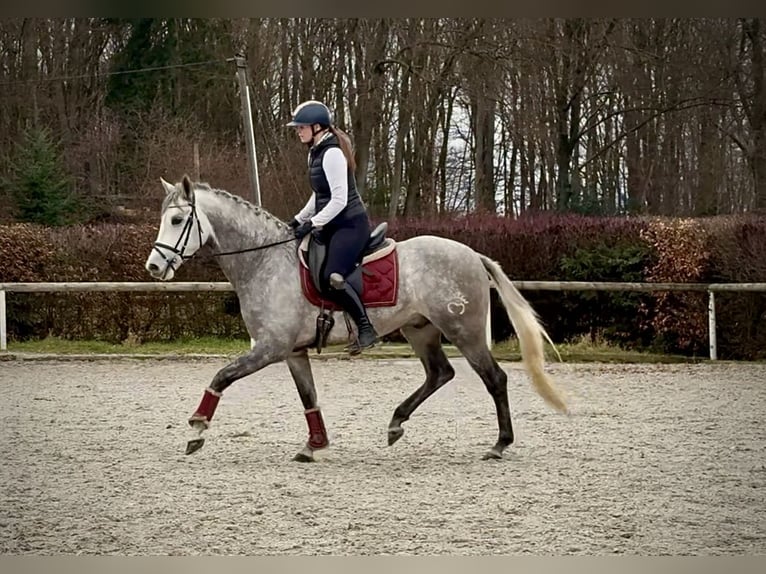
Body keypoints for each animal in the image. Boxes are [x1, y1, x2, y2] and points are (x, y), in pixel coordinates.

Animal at [144, 175, 568, 462]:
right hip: (420, 330)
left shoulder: (270, 347)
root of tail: (472, 255)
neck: (265, 261)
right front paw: (314, 445)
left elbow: (222, 377)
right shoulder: (292, 352)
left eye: (178, 221)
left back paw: (499, 444)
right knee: (439, 373)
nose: (154, 266)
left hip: (464, 331)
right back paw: (396, 423)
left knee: (493, 378)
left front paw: (198, 428)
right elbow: (309, 397)